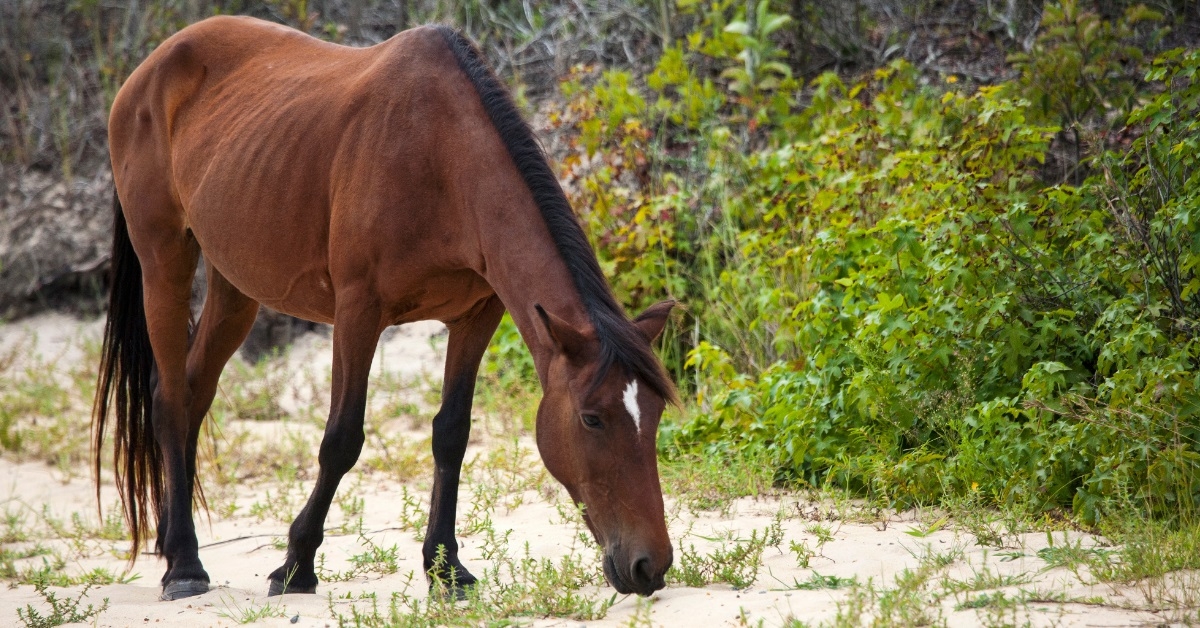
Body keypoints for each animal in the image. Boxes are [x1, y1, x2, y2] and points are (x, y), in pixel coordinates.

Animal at [93, 15, 678, 602]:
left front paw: (446, 569)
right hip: (164, 262)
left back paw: (172, 542)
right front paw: (296, 565)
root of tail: (151, 67)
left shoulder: (478, 316)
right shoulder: (358, 312)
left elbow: (451, 435)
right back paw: (185, 566)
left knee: (194, 394)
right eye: (591, 418)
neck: (440, 157)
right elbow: (341, 439)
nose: (649, 566)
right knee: (169, 399)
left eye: (654, 413)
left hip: (236, 285)